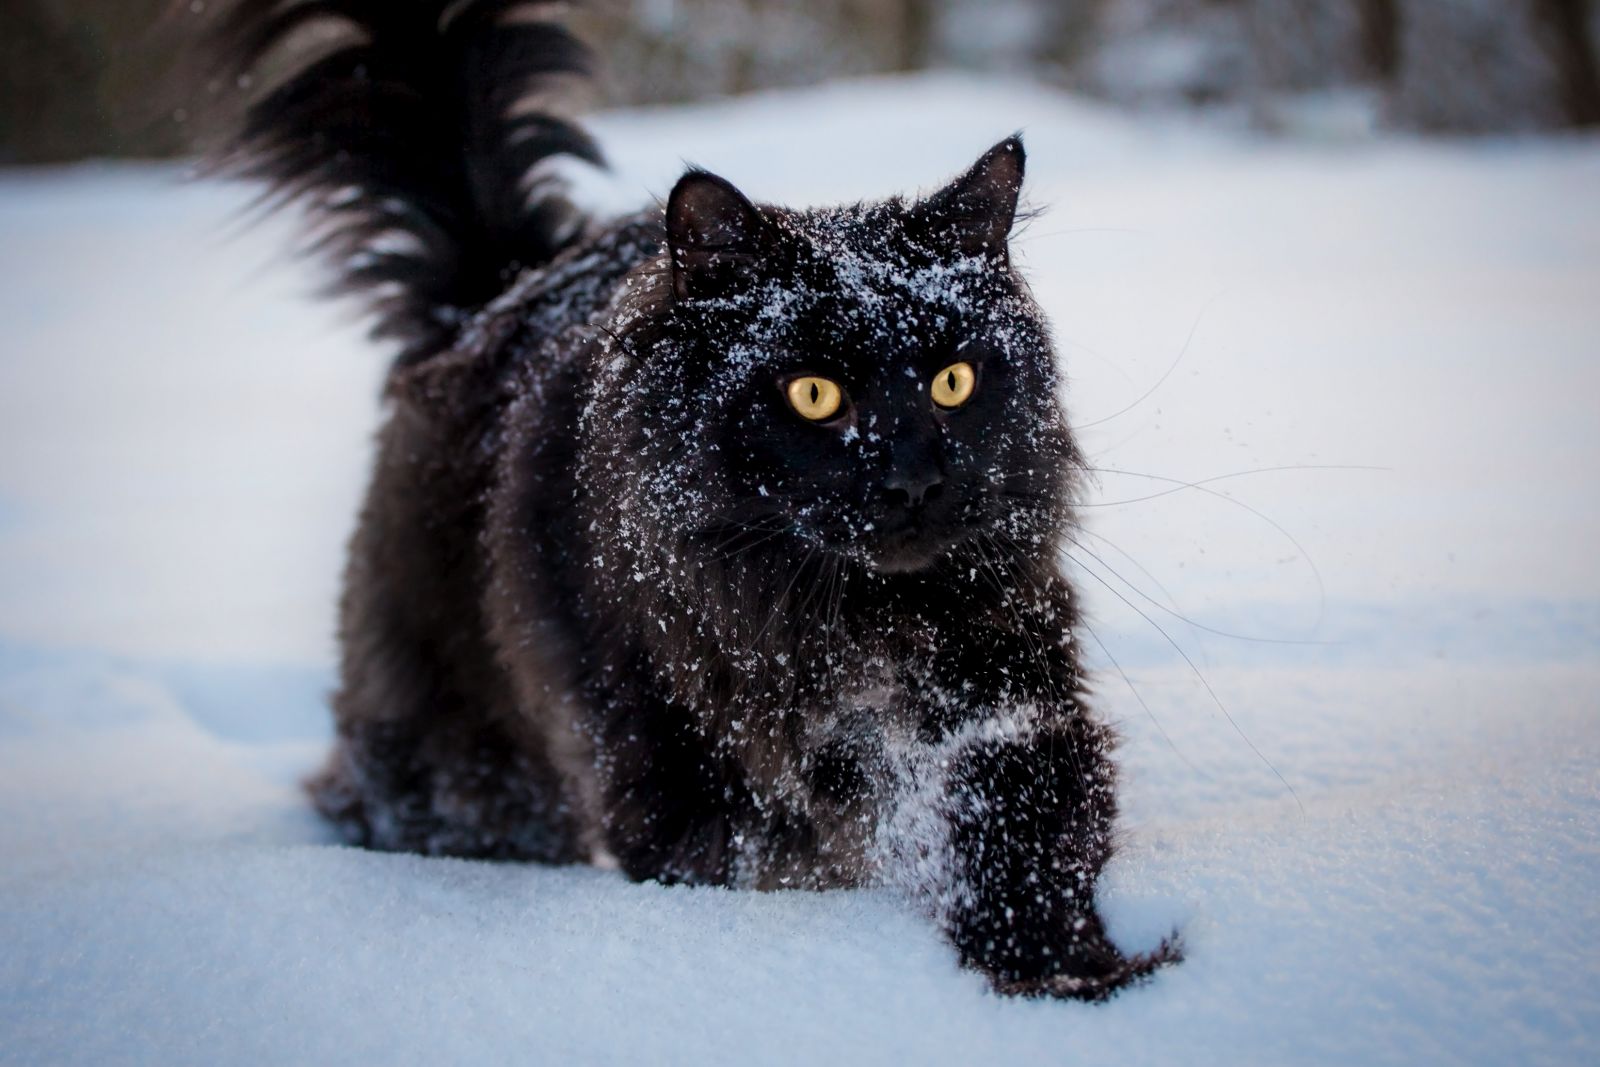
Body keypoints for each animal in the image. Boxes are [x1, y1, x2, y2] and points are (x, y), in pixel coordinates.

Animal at [206, 0, 1177, 1004]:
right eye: (815, 395)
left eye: (953, 381)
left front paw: (1072, 970)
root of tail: (501, 288)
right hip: (459, 759)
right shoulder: (683, 790)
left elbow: (1022, 837)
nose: (913, 477)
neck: (838, 624)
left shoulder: (1010, 702)